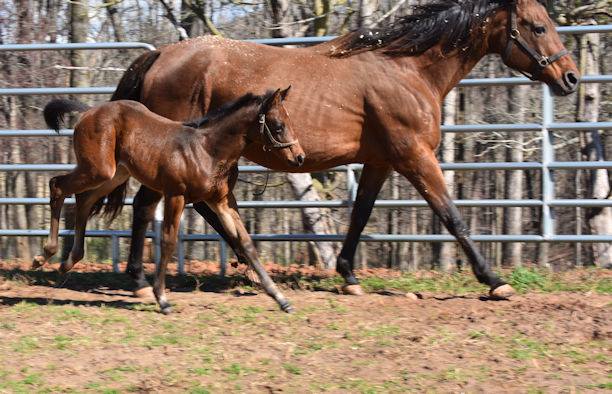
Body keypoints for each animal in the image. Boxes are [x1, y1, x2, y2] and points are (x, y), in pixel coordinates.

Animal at [38, 87, 304, 312]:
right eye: (278, 126)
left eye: (290, 121)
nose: (299, 157)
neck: (207, 150)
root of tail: (88, 111)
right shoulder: (176, 196)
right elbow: (167, 241)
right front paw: (162, 299)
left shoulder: (221, 201)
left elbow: (247, 243)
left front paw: (281, 299)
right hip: (98, 170)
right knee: (57, 186)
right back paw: (45, 254)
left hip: (115, 173)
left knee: (83, 199)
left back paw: (68, 261)